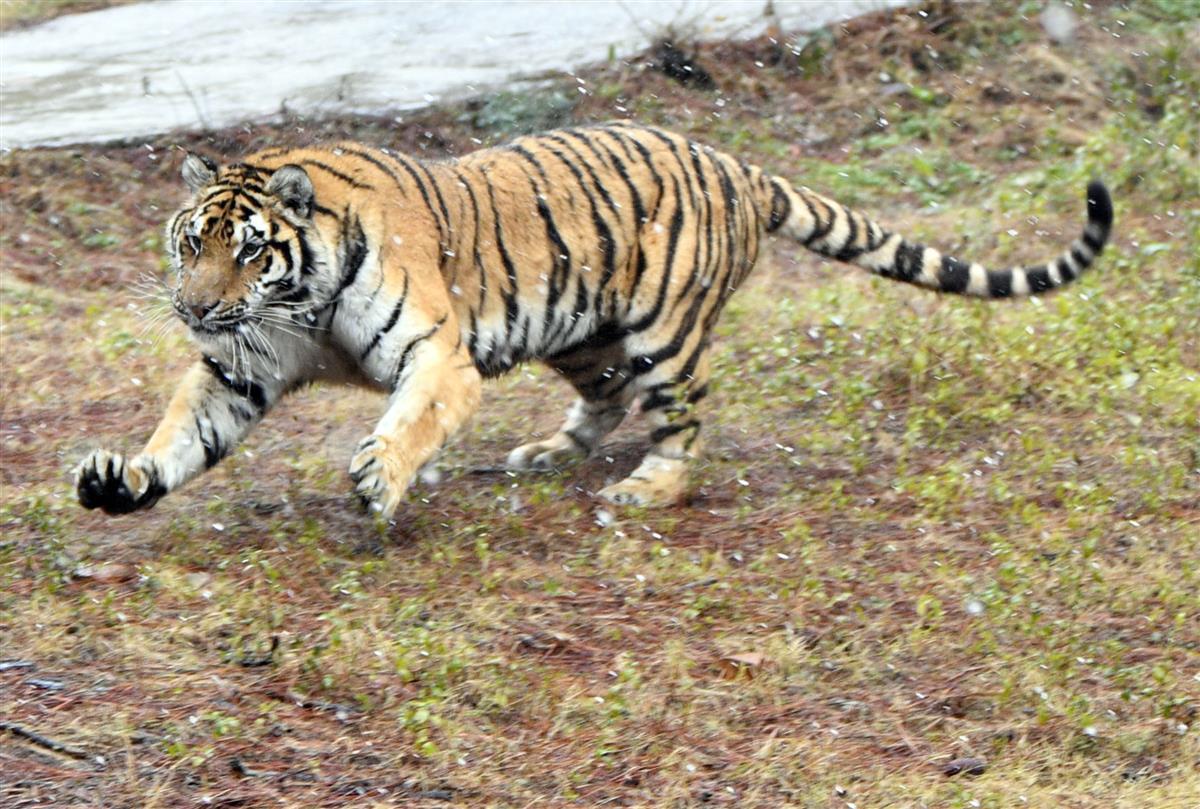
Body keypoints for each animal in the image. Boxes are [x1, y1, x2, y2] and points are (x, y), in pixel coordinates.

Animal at [70, 123, 1108, 520]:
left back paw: (648, 487)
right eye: (189, 244)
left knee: (683, 424)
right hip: (578, 332)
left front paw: (382, 475)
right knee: (606, 401)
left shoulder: (440, 355)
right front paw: (122, 478)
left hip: (665, 333)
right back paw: (544, 453)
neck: (302, 298)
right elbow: (184, 431)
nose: (196, 308)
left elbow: (409, 419)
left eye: (249, 251)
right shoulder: (241, 365)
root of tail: (738, 165)